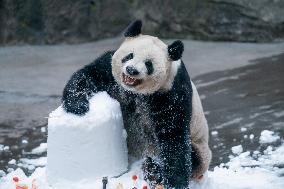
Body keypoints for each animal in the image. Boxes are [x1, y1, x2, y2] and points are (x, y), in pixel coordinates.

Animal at [63, 19, 211, 188]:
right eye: (129, 56)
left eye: (148, 64)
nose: (131, 70)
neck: (135, 93)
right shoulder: (110, 70)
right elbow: (88, 75)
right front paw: (78, 105)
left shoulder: (171, 91)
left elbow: (173, 135)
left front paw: (174, 182)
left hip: (200, 148)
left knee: (194, 157)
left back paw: (153, 171)